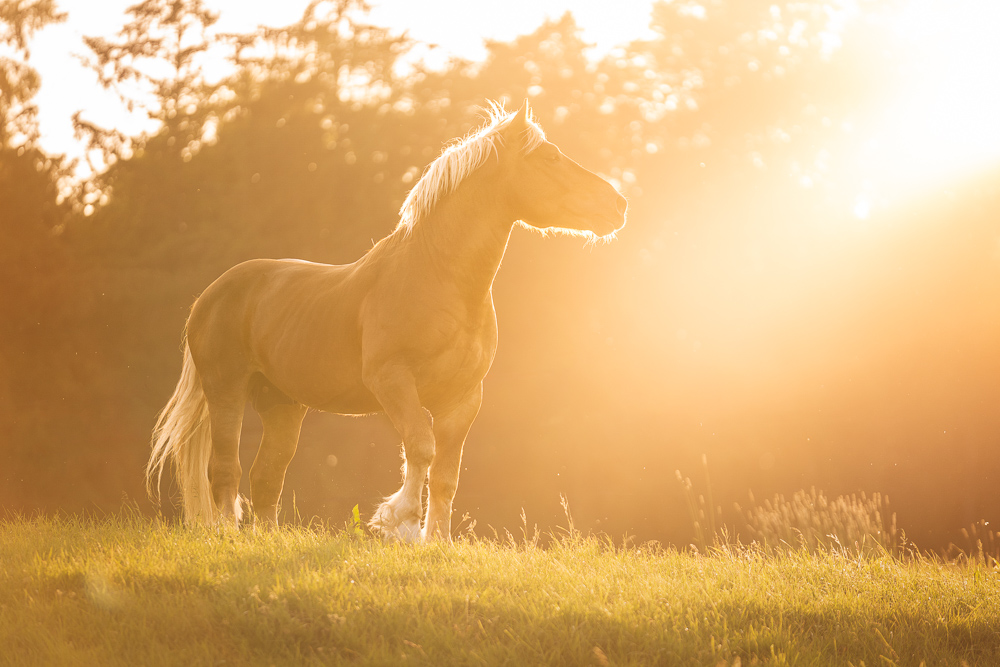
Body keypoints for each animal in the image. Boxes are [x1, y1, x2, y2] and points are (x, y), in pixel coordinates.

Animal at [146, 100, 627, 541]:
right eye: (549, 158)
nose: (618, 205)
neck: (437, 277)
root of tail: (211, 294)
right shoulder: (392, 380)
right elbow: (420, 448)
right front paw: (403, 524)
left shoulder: (464, 398)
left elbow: (447, 474)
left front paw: (438, 541)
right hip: (225, 390)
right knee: (224, 469)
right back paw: (227, 534)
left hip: (282, 404)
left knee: (267, 476)